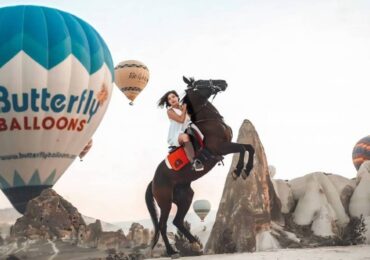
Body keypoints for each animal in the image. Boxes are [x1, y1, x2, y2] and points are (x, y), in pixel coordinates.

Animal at [145, 76, 254, 256]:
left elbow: (249, 148)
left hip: (185, 196)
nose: (223, 82)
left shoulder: (228, 146)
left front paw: (246, 170)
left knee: (178, 221)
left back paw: (196, 244)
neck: (210, 121)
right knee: (163, 225)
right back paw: (172, 252)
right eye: (201, 82)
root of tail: (153, 181)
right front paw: (238, 171)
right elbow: (242, 148)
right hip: (165, 202)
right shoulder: (221, 147)